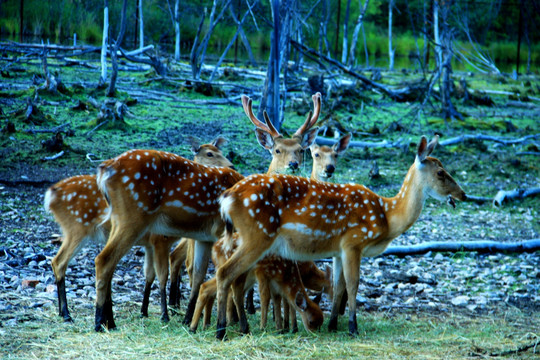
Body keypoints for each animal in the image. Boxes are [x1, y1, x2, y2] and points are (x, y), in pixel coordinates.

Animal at [44, 136, 232, 324]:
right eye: (209, 154)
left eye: (221, 151)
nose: (231, 165)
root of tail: (49, 196)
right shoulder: (160, 240)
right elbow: (162, 274)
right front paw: (165, 315)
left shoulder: (154, 244)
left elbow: (151, 274)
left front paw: (146, 311)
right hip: (90, 227)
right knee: (75, 261)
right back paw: (84, 318)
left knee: (76, 262)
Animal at [216, 136, 468, 340]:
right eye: (441, 173)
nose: (463, 195)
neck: (387, 216)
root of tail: (227, 198)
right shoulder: (353, 242)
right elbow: (354, 284)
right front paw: (352, 327)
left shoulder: (337, 251)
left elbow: (338, 287)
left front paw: (333, 325)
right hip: (258, 234)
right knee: (225, 273)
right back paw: (222, 331)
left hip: (249, 238)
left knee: (234, 278)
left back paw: (241, 328)